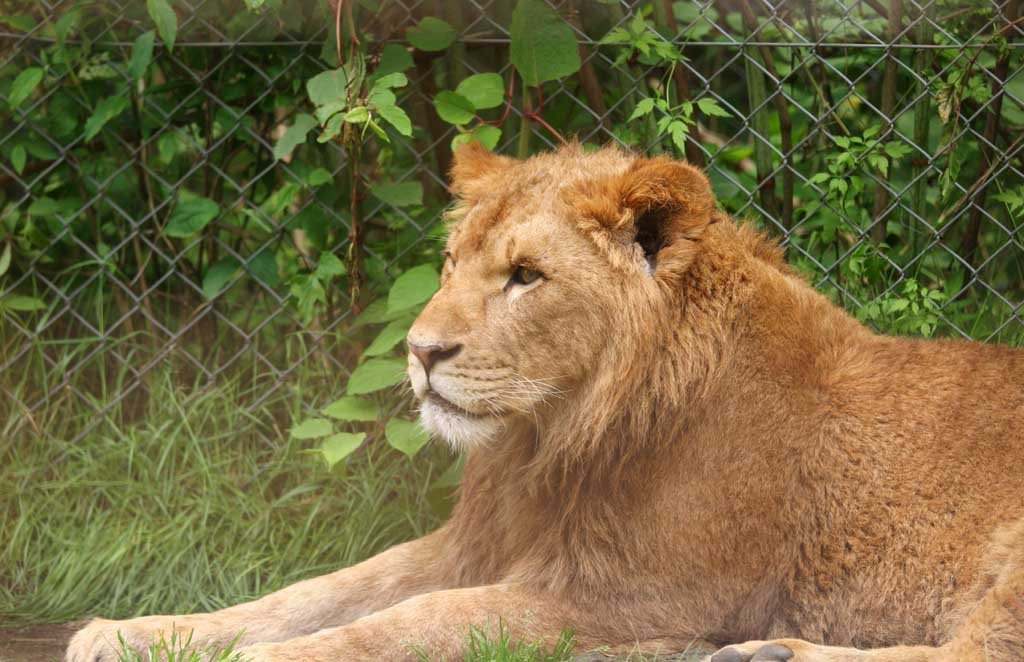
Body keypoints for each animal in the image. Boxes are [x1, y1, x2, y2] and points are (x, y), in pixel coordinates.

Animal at [67, 143, 1024, 662]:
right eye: (451, 263)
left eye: (526, 276)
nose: (420, 353)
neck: (547, 443)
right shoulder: (473, 545)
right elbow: (317, 591)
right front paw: (136, 632)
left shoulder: (629, 596)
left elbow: (412, 622)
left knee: (977, 649)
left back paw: (772, 648)